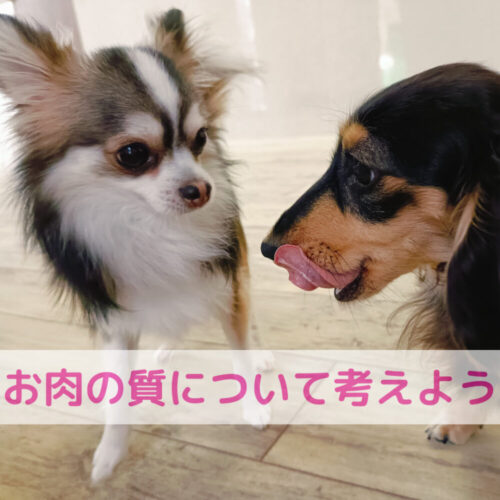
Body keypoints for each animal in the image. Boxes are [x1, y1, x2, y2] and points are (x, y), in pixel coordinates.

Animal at [0, 9, 270, 482]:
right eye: (132, 154)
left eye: (200, 139)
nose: (202, 188)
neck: (152, 228)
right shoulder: (117, 323)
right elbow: (118, 393)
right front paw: (110, 452)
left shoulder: (228, 286)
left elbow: (239, 351)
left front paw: (253, 402)